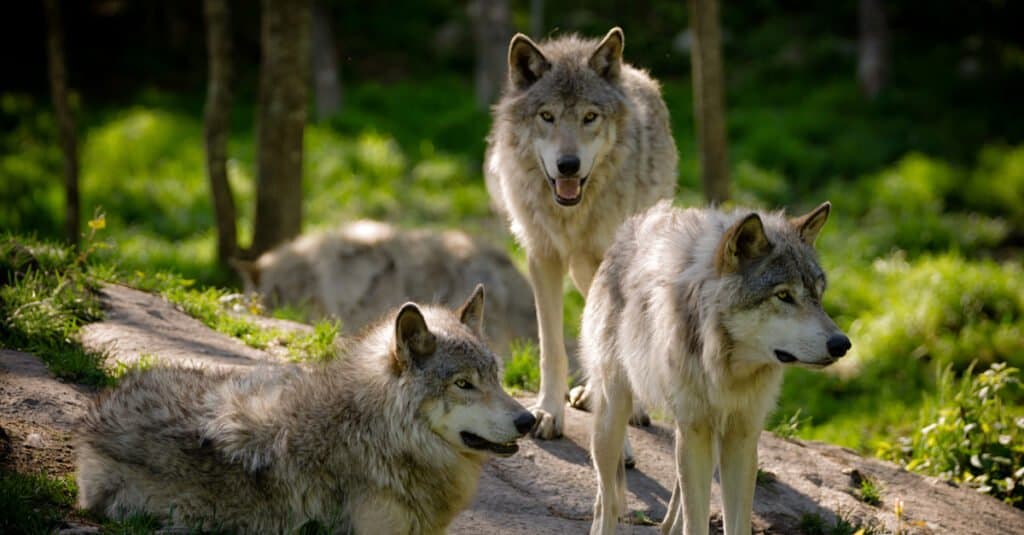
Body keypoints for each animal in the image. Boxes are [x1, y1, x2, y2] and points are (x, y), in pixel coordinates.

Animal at [483, 26, 675, 436]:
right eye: (547, 116)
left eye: (590, 117)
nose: (568, 165)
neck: (571, 214)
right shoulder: (542, 257)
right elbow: (551, 347)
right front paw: (548, 412)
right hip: (579, 269)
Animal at [581, 200, 851, 532]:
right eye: (783, 295)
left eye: (818, 294)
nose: (842, 344)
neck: (726, 369)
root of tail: (628, 230)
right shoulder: (695, 430)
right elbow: (695, 522)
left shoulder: (742, 435)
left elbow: (736, 522)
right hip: (614, 417)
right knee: (608, 499)